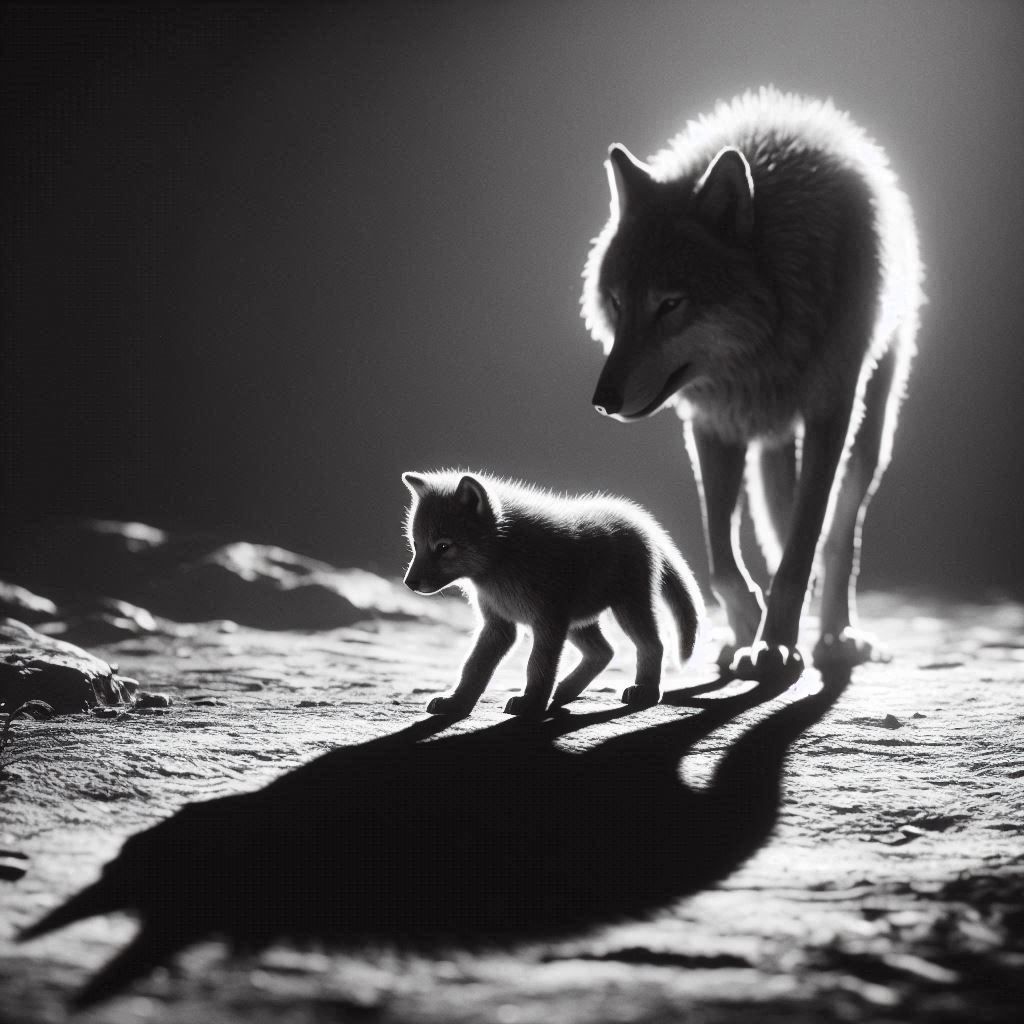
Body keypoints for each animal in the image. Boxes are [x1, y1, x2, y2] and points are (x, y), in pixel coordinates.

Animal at [402, 470, 703, 715]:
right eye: (415, 544)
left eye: (443, 547)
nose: (409, 583)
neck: (504, 557)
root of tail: (645, 526)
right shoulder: (500, 626)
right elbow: (473, 667)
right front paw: (456, 703)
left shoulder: (548, 622)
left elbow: (538, 666)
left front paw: (531, 704)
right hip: (580, 621)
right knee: (604, 652)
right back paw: (565, 690)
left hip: (627, 608)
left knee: (653, 645)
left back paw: (646, 691)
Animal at [580, 87, 923, 683]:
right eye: (619, 303)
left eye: (670, 304)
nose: (604, 401)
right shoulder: (715, 425)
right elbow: (722, 558)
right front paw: (746, 631)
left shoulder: (830, 414)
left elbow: (804, 549)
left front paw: (776, 645)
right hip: (772, 442)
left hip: (871, 429)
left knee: (838, 533)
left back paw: (836, 635)